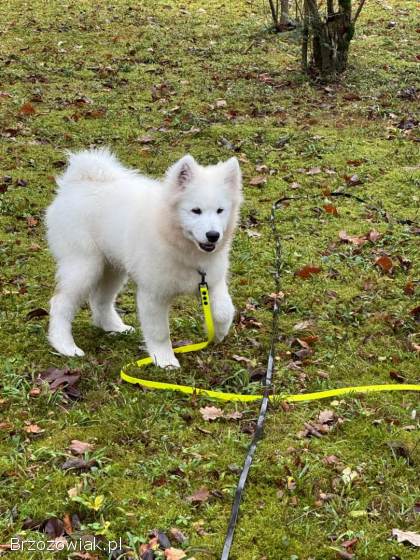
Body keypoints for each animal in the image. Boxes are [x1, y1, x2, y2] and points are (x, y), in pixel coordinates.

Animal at [45, 149, 243, 368]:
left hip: (112, 267)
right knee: (60, 302)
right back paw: (64, 345)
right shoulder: (153, 295)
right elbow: (159, 332)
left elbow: (225, 310)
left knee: (100, 299)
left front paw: (217, 333)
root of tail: (78, 181)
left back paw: (114, 327)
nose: (213, 235)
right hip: (84, 265)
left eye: (220, 210)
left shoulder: (210, 281)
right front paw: (165, 360)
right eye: (196, 210)